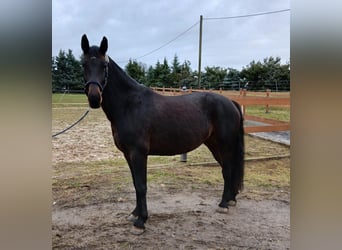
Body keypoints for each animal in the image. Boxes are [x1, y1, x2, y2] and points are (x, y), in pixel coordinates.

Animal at [81, 34, 244, 229]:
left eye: (104, 66)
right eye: (83, 64)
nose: (94, 98)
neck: (129, 105)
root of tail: (231, 102)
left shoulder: (138, 153)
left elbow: (141, 186)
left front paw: (141, 221)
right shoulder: (128, 154)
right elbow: (135, 183)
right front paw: (135, 213)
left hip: (225, 145)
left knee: (227, 170)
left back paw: (224, 204)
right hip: (213, 144)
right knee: (229, 169)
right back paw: (231, 200)